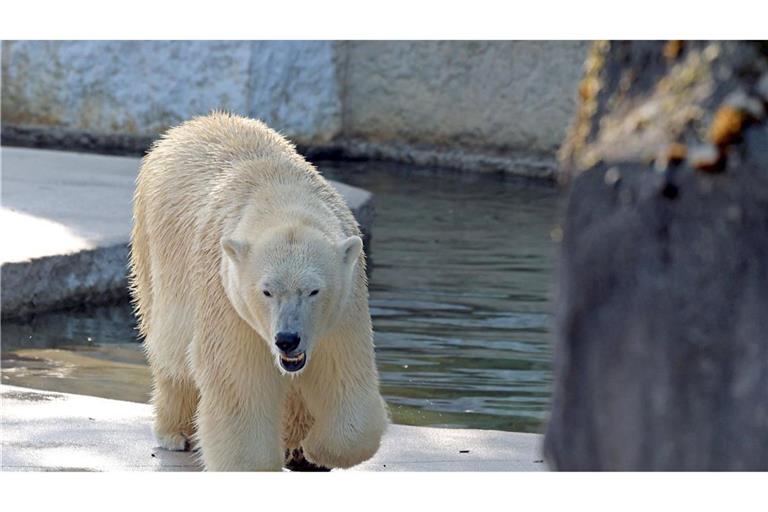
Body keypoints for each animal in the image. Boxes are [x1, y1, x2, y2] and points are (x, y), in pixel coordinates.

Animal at [130, 113, 390, 472]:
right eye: (266, 291)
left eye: (313, 291)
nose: (287, 339)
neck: (281, 193)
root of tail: (192, 124)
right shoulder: (227, 297)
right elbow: (240, 383)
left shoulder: (345, 307)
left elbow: (343, 375)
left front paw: (315, 450)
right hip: (154, 250)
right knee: (171, 351)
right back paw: (177, 432)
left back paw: (295, 445)